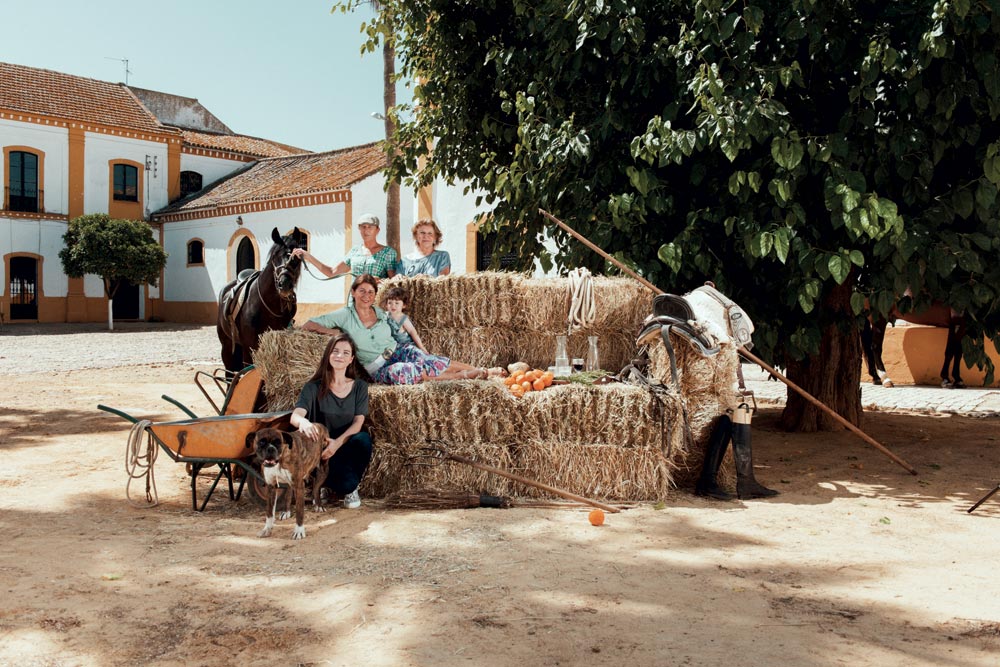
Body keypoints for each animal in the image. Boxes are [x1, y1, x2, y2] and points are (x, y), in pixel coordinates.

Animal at [214, 227, 300, 376]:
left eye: (296, 258)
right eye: (274, 256)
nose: (284, 284)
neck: (268, 306)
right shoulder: (250, 346)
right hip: (227, 345)